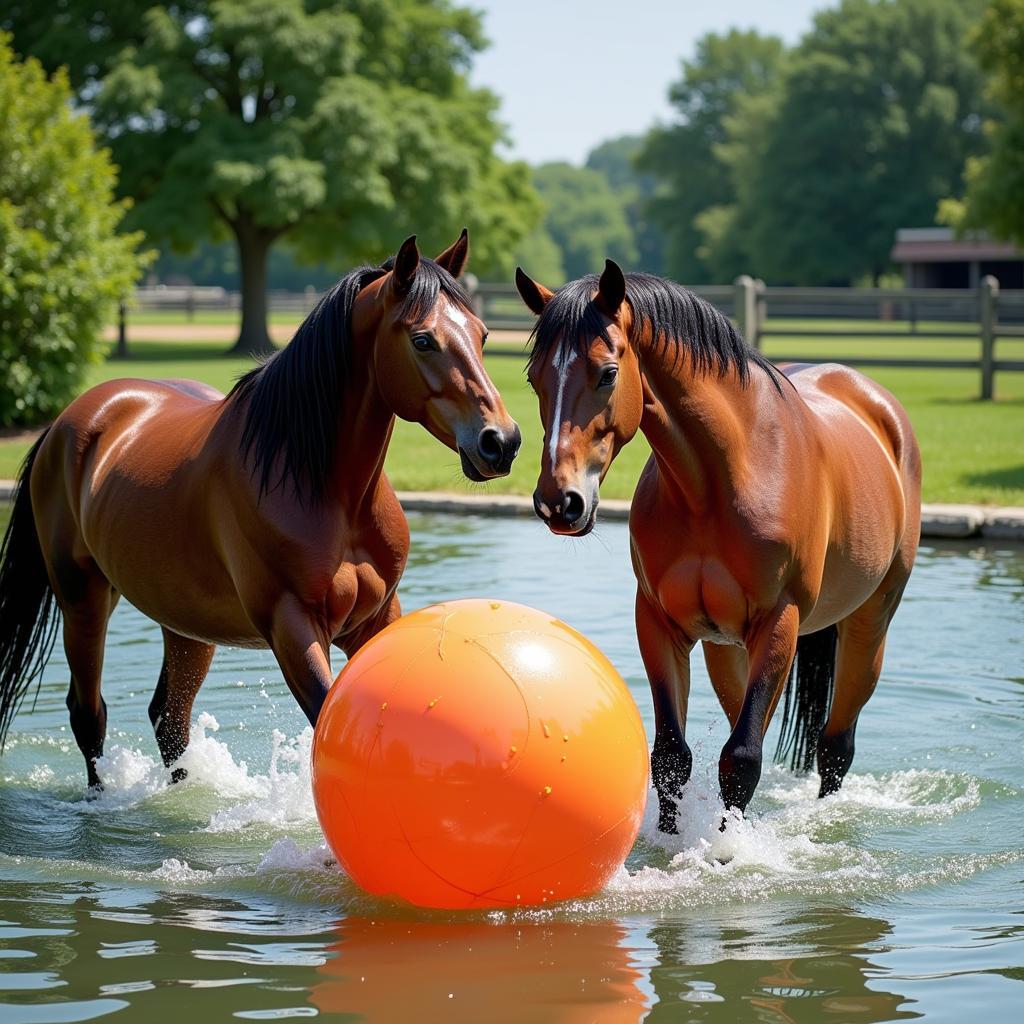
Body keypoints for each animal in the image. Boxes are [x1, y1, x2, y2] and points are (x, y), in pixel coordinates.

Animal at [0, 234, 520, 790]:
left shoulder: (378, 618)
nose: (501, 441)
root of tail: (68, 423)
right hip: (82, 597)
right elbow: (325, 718)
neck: (322, 484)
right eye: (423, 340)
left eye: (483, 335)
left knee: (169, 719)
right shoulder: (291, 626)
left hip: (184, 623)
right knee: (88, 713)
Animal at [516, 258, 925, 831]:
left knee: (834, 746)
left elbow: (742, 758)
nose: (560, 502)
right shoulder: (659, 623)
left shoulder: (779, 623)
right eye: (535, 379)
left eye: (608, 372)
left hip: (869, 625)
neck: (716, 483)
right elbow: (671, 756)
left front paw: (731, 848)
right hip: (725, 648)